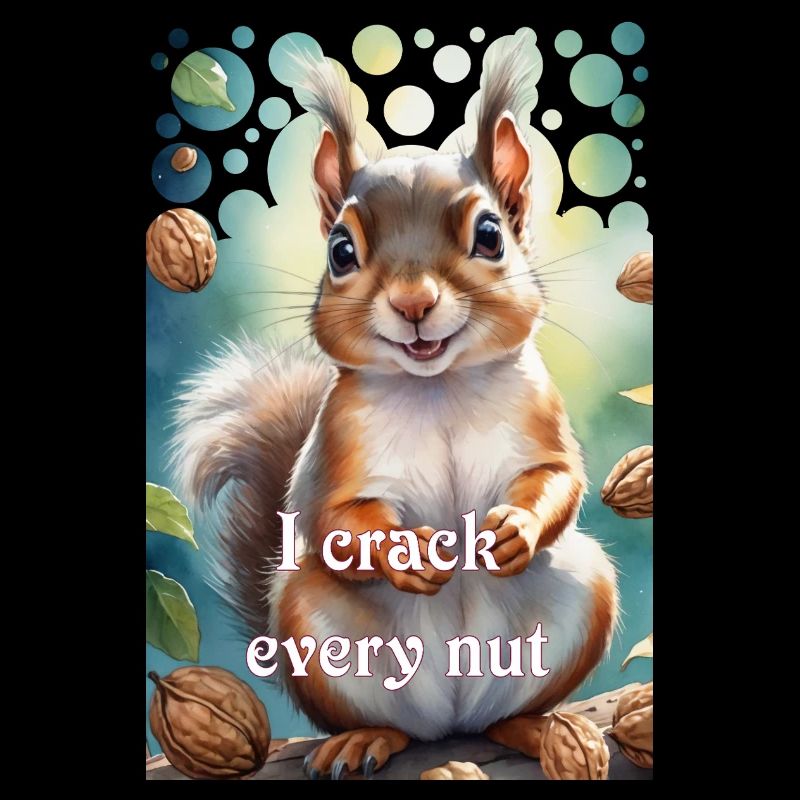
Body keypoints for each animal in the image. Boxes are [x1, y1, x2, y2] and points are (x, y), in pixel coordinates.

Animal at [171, 36, 617, 780]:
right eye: (340, 250)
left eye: (491, 235)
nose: (413, 304)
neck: (437, 386)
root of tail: (451, 717)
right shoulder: (337, 443)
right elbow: (334, 521)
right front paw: (406, 551)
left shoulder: (540, 413)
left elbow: (558, 477)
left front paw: (515, 531)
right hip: (313, 626)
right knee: (391, 722)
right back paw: (365, 739)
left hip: (585, 592)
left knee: (499, 717)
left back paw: (534, 728)